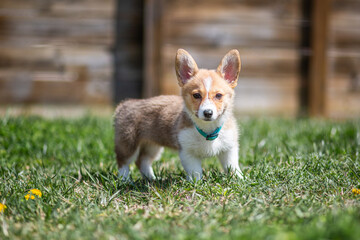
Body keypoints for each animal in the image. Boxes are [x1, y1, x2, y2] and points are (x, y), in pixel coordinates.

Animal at [115, 48, 243, 180]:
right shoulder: (187, 152)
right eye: (196, 95)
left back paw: (152, 179)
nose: (208, 113)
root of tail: (124, 104)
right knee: (123, 162)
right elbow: (195, 172)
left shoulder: (229, 149)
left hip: (152, 145)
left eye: (218, 95)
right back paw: (125, 180)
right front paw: (196, 183)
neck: (207, 130)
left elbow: (233, 167)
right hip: (128, 143)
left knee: (142, 160)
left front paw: (239, 180)